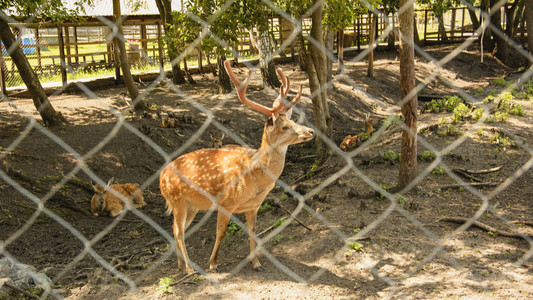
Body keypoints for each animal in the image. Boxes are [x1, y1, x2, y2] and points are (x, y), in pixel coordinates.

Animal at [160, 61, 314, 274]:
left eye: (291, 120)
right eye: (285, 127)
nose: (311, 131)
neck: (255, 177)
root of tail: (161, 176)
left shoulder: (254, 206)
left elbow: (254, 232)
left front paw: (256, 263)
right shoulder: (226, 203)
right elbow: (221, 233)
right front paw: (213, 264)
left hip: (191, 205)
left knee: (175, 230)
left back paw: (180, 265)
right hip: (177, 200)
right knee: (179, 231)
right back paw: (190, 269)